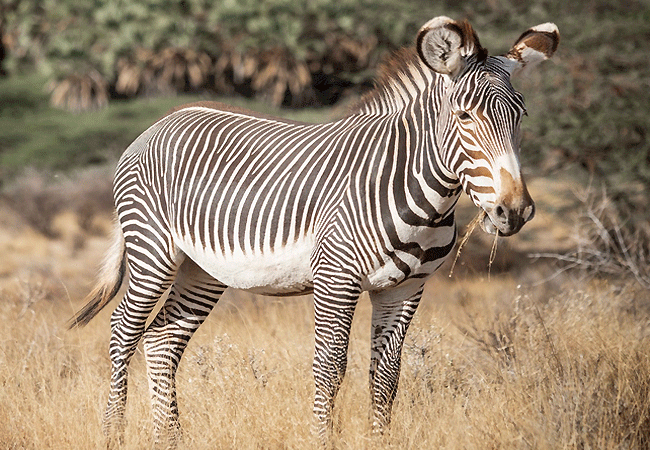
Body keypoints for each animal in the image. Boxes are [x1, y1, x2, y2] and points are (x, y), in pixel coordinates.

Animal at [69, 16, 559, 448]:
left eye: (521, 115)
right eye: (463, 116)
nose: (514, 211)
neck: (417, 191)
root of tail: (162, 121)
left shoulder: (405, 289)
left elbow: (386, 375)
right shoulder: (336, 279)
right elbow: (330, 367)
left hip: (201, 268)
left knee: (162, 340)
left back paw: (170, 440)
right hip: (152, 249)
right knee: (123, 331)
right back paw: (113, 436)